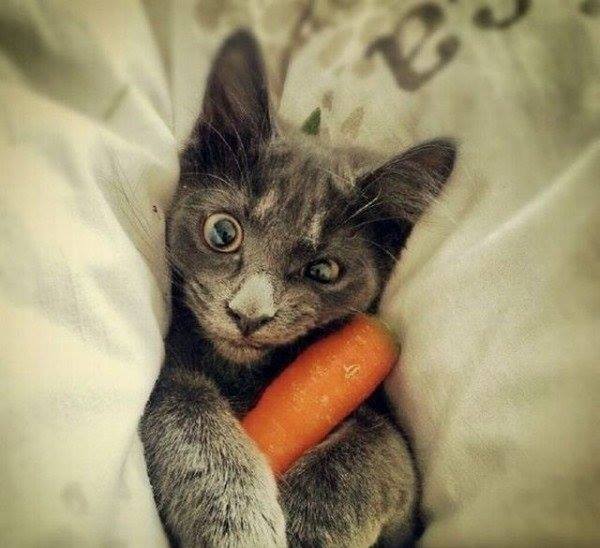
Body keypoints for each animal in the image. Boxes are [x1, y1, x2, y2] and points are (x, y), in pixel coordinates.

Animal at [141, 30, 458, 548]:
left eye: (324, 271)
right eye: (223, 232)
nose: (249, 314)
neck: (243, 374)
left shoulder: (402, 493)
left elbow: (369, 454)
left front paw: (306, 526)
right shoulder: (172, 368)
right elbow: (185, 407)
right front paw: (238, 519)